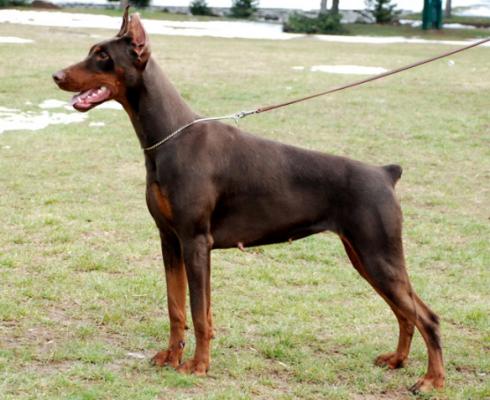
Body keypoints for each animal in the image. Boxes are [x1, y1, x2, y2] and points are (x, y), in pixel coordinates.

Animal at [52, 9, 444, 394]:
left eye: (103, 56)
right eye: (93, 50)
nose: (56, 75)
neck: (168, 137)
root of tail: (385, 173)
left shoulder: (196, 241)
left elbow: (199, 311)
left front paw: (198, 366)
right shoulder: (169, 239)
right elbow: (176, 307)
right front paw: (171, 356)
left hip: (378, 253)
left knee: (427, 317)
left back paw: (432, 380)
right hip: (363, 256)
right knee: (404, 312)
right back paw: (397, 360)